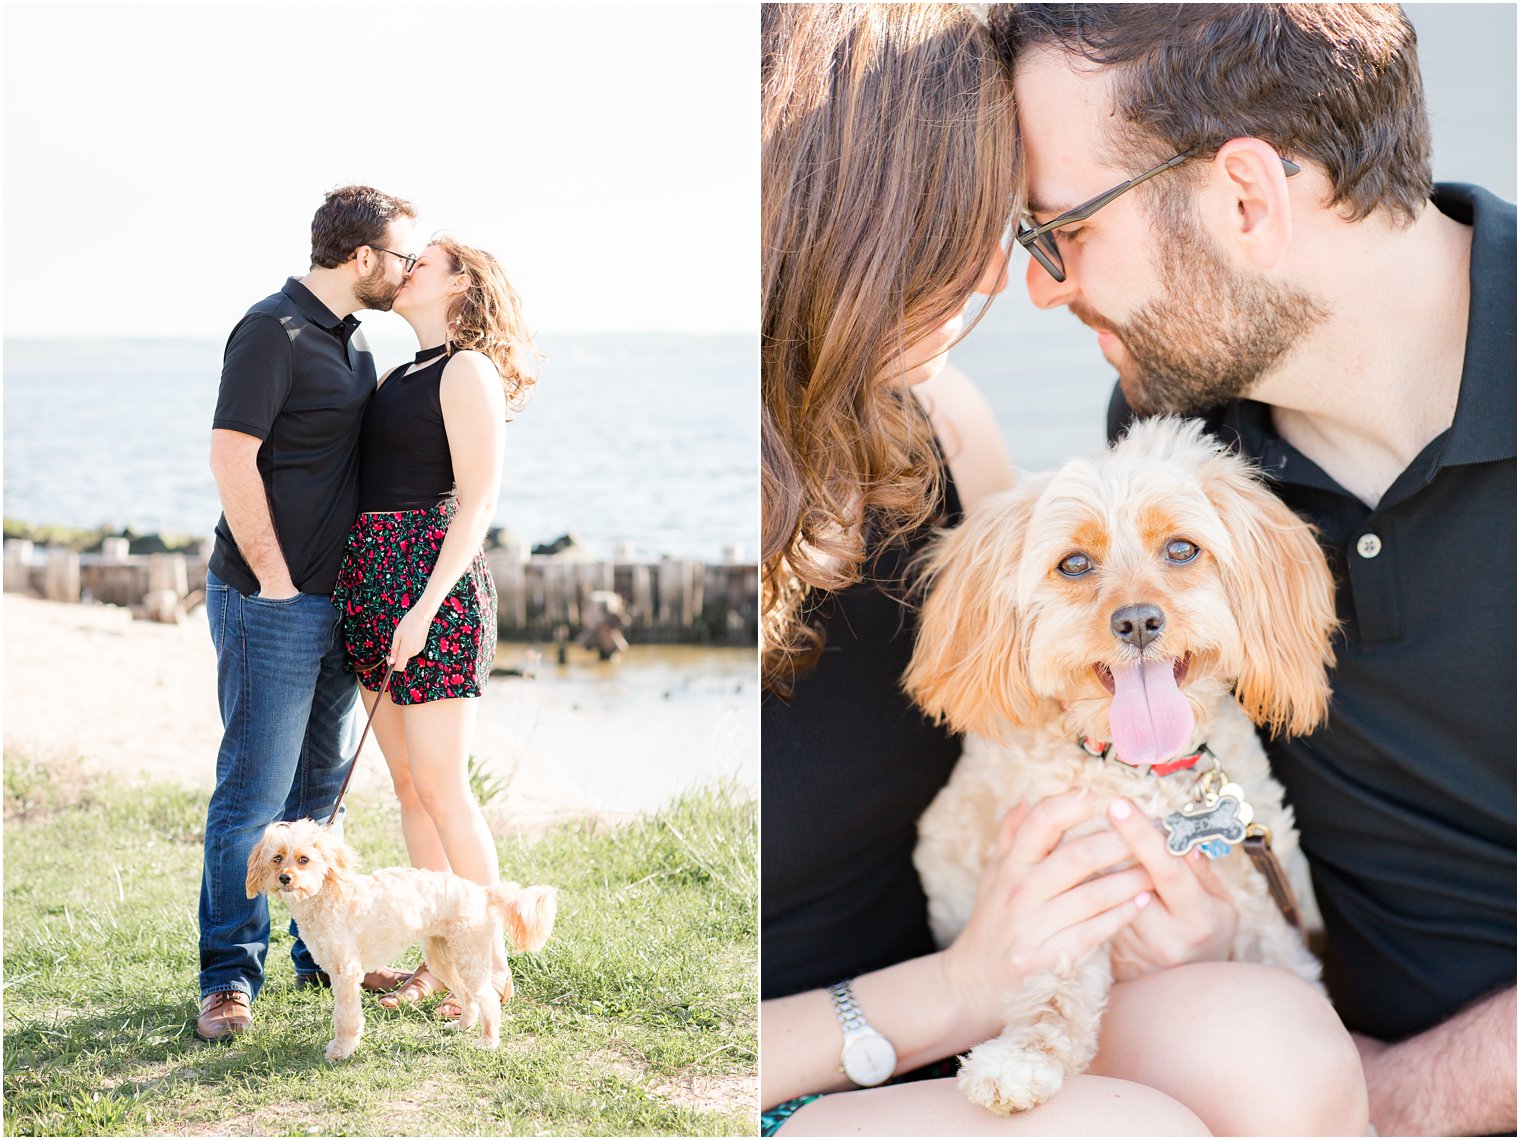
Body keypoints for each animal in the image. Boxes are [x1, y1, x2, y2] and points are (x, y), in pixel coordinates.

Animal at [246, 820, 556, 1064]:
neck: (327, 895)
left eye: (304, 859)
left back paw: (488, 1042)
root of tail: (482, 892)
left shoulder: (346, 973)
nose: (284, 878)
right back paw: (460, 1027)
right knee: (468, 997)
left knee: (488, 999)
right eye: (277, 858)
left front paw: (341, 1051)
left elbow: (345, 1018)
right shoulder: (336, 971)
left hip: (469, 956)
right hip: (442, 959)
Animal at [905, 416, 1337, 1118]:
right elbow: (1053, 991)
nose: (1137, 622)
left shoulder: (1260, 903)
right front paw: (1020, 1058)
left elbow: (1288, 970)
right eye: (1074, 564)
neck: (1144, 774)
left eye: (1182, 549)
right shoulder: (1065, 896)